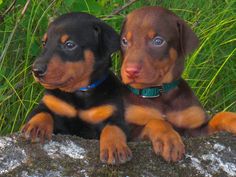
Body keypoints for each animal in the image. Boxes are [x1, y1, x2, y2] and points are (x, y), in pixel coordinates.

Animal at [21, 12, 132, 165]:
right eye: (44, 43)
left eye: (69, 44)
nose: (36, 70)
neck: (79, 92)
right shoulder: (51, 104)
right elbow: (41, 112)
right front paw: (36, 127)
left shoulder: (114, 115)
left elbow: (113, 128)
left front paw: (114, 147)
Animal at [120, 6, 236, 162]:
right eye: (124, 41)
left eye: (158, 41)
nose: (130, 71)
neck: (159, 92)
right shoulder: (130, 131)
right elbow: (156, 121)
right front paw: (169, 140)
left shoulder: (196, 131)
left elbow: (219, 117)